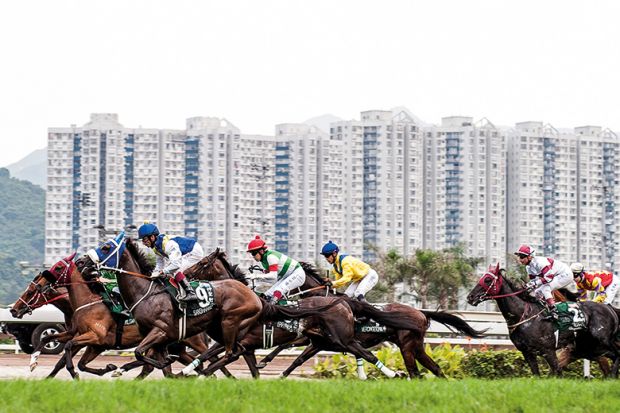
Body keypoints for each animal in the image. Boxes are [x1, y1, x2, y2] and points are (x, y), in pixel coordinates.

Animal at [468, 264, 616, 376]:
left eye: (487, 279)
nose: (470, 297)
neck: (524, 315)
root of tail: (610, 309)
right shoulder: (528, 353)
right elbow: (538, 374)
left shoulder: (549, 351)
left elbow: (557, 371)